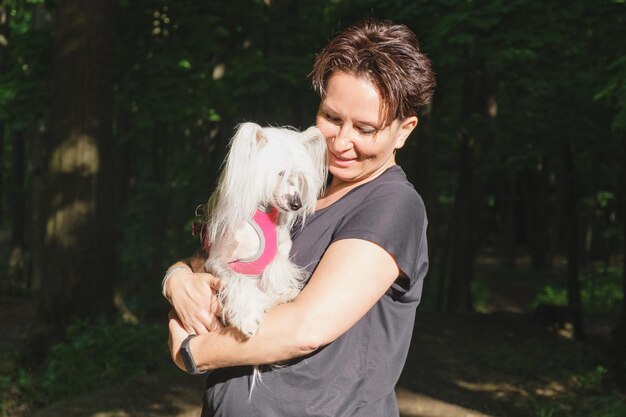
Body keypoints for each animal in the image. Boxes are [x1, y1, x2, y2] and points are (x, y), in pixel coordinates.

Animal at [200, 122, 326, 336]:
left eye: (298, 176)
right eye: (281, 172)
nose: (296, 204)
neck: (266, 212)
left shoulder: (279, 255)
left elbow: (274, 274)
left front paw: (280, 293)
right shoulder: (218, 261)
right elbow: (238, 281)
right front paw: (248, 319)